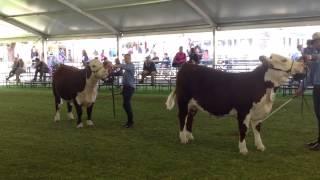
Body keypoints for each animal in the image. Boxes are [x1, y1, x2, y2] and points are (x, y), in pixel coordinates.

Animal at [168, 53, 304, 155]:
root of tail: (187, 66)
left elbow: (257, 129)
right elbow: (243, 130)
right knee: (182, 117)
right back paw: (183, 139)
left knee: (190, 119)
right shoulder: (243, 111)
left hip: (193, 105)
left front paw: (260, 146)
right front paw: (243, 149)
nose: (303, 64)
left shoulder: (257, 113)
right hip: (183, 100)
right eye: (283, 60)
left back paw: (189, 136)